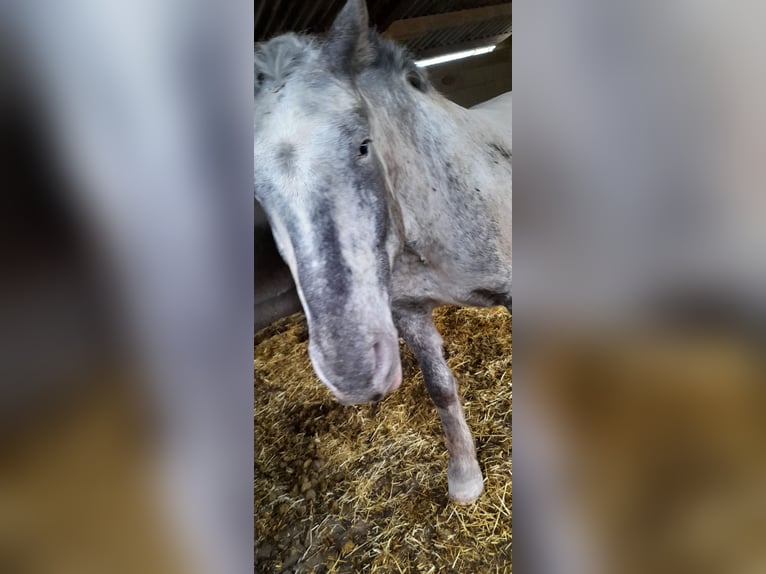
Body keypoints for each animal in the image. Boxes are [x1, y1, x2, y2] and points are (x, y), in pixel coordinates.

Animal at [254, 0, 511, 504]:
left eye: (363, 146)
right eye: (256, 190)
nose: (353, 371)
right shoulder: (407, 311)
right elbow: (440, 388)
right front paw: (465, 478)